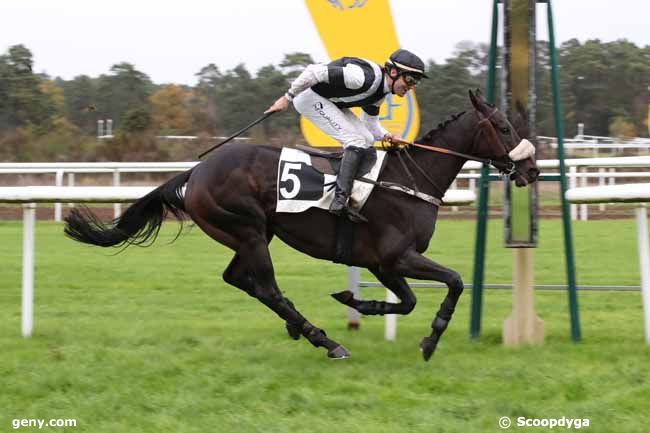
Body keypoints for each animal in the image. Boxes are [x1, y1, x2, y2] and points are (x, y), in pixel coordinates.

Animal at [63, 90, 536, 362]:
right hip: (250, 231)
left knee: (240, 280)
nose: (531, 168)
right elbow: (453, 282)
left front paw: (357, 301)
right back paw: (323, 340)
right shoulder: (397, 256)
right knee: (266, 287)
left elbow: (407, 302)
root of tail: (194, 173)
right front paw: (430, 341)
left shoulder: (384, 264)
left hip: (250, 235)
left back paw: (299, 326)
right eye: (504, 127)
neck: (409, 179)